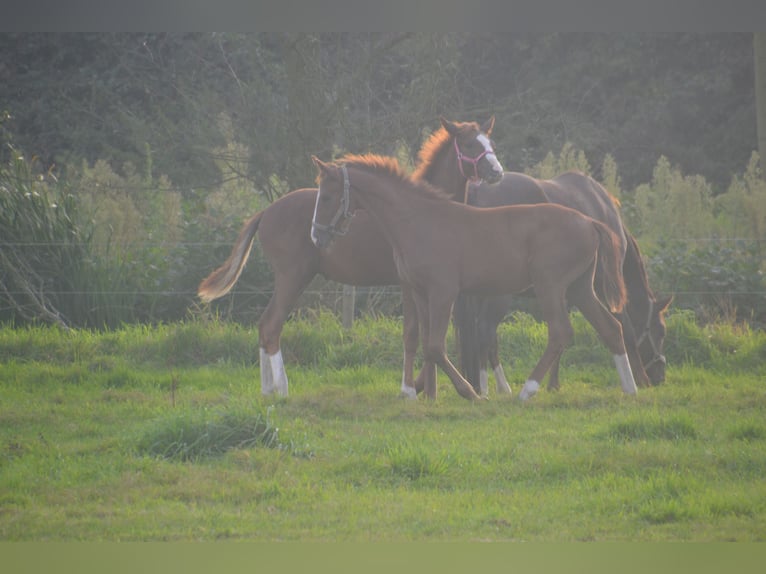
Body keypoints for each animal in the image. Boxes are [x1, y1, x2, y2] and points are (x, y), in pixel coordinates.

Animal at [201, 117, 508, 396]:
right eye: (469, 144)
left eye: (491, 143)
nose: (497, 171)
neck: (420, 209)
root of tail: (265, 212)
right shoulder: (409, 285)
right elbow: (412, 334)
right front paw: (410, 390)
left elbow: (426, 335)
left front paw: (426, 388)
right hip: (292, 277)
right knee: (271, 326)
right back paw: (282, 389)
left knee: (264, 325)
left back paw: (267, 390)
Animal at [308, 155, 640, 402]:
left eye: (327, 197)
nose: (316, 236)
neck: (418, 220)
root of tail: (590, 222)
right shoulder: (420, 292)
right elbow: (423, 340)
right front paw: (427, 393)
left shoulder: (443, 291)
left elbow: (435, 346)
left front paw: (470, 392)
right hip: (579, 289)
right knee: (611, 328)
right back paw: (630, 388)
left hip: (551, 286)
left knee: (560, 332)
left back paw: (526, 390)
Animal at [456, 173, 672, 398]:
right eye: (661, 331)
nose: (660, 377)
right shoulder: (604, 290)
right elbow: (627, 330)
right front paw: (641, 378)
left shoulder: (568, 292)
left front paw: (553, 383)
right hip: (499, 294)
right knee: (485, 330)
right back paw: (492, 387)